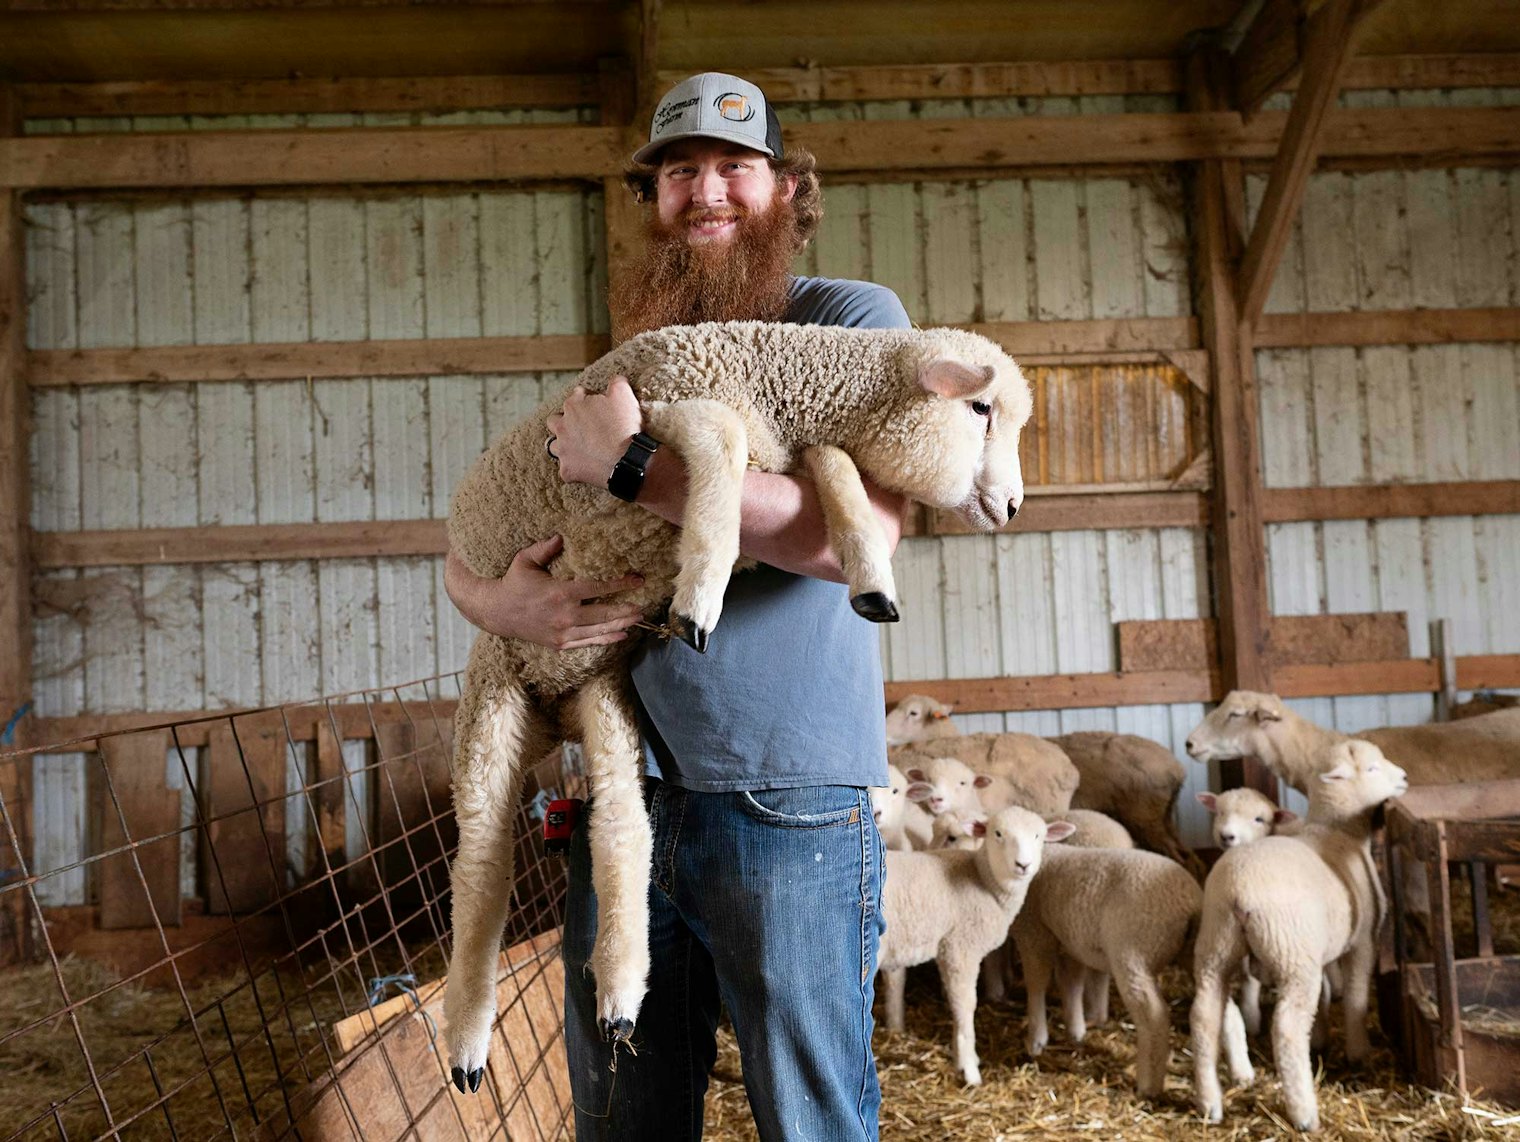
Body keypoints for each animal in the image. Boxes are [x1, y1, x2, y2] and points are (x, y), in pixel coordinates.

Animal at [877, 806, 1064, 1085]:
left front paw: (963, 1058)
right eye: (997, 833)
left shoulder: (948, 949)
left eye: (1038, 836)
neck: (983, 880)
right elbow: (966, 1005)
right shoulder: (960, 948)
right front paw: (970, 1070)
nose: (1023, 865)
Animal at [1190, 741, 1409, 1131]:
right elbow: (1355, 995)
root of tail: (1238, 890)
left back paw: (1210, 1104)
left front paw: (1320, 1038)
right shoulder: (1362, 942)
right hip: (1290, 954)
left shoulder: (1316, 951)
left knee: (1204, 1017)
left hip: (1217, 947)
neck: (1340, 833)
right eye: (1371, 768)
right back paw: (1304, 1113)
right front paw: (1358, 1051)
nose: (1403, 777)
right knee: (1288, 1029)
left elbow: (1324, 997)